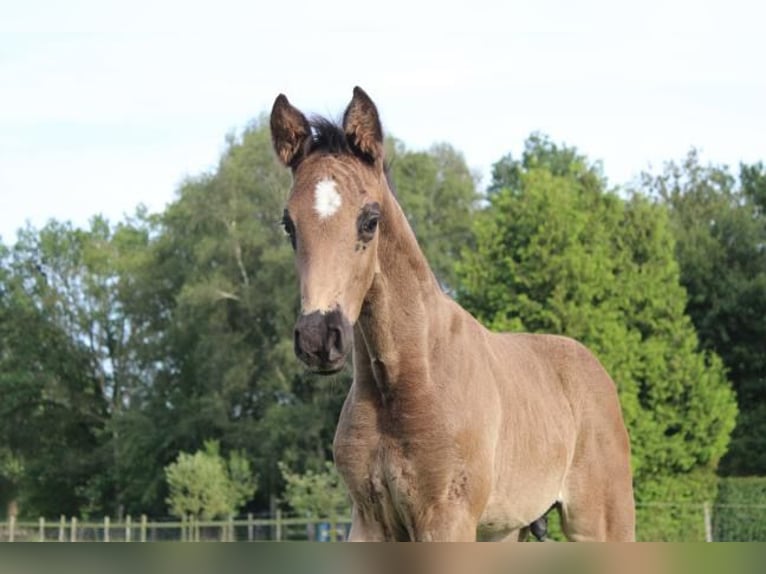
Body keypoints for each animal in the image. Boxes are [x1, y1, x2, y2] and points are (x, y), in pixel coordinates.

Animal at [270, 88, 636, 544]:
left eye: (370, 220)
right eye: (289, 225)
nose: (319, 337)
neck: (407, 378)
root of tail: (596, 371)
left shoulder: (447, 517)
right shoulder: (369, 520)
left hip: (600, 522)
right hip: (508, 530)